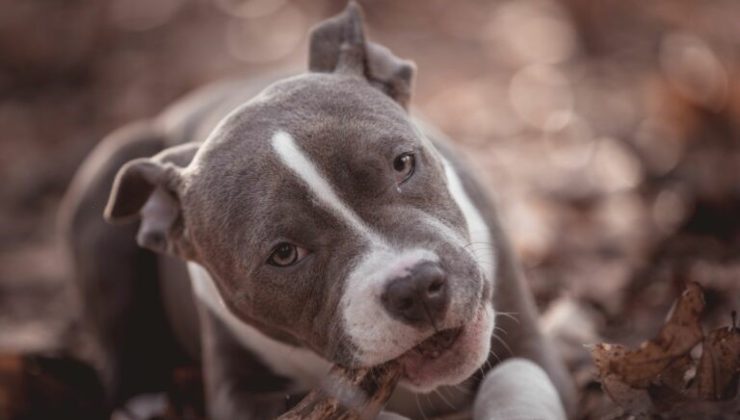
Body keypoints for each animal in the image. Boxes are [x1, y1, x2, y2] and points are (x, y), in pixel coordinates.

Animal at [59, 2, 580, 416]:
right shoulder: (240, 394)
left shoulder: (529, 345)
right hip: (107, 175)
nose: (415, 286)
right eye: (284, 254)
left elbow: (515, 382)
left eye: (403, 163)